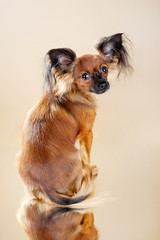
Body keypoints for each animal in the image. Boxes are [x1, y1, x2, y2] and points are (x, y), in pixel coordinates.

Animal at [16, 32, 132, 205]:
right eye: (85, 76)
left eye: (104, 69)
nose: (103, 84)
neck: (73, 90)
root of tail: (46, 188)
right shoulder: (87, 133)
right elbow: (86, 160)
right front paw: (90, 171)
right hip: (75, 156)